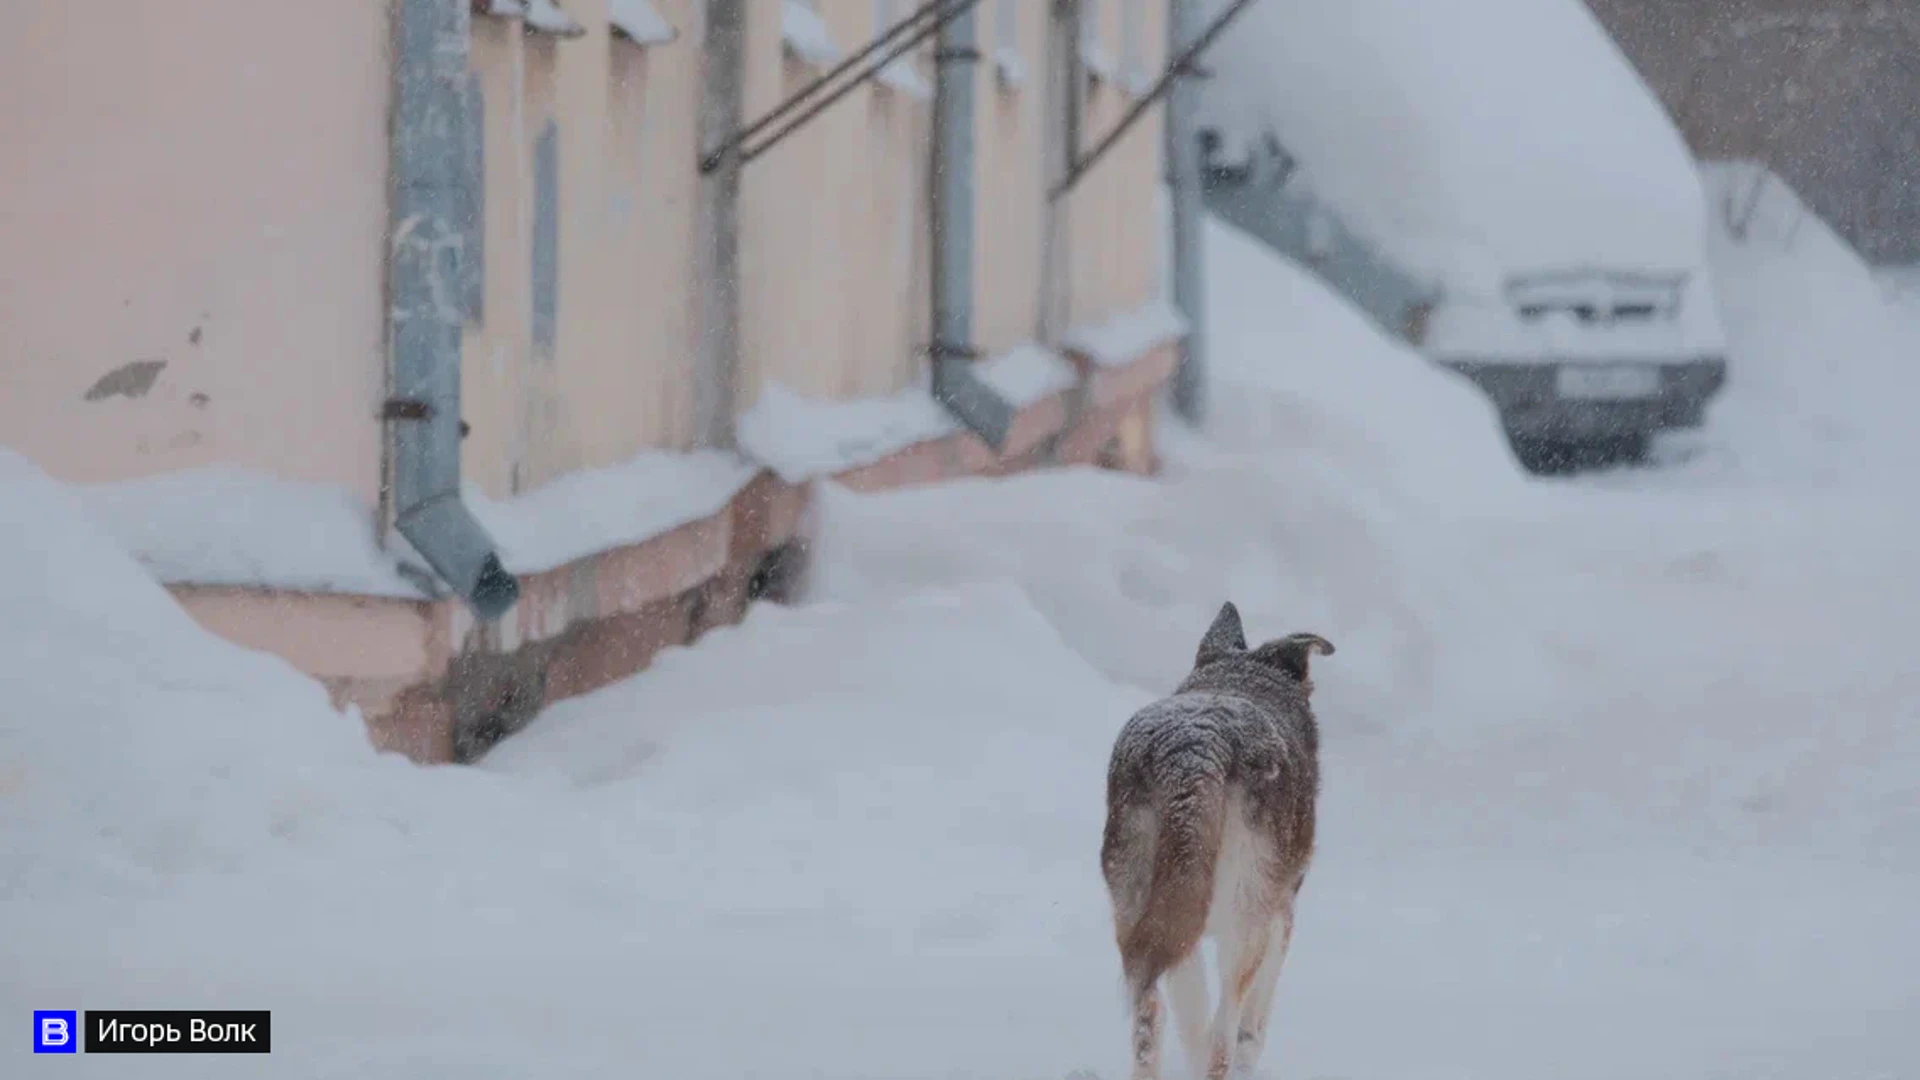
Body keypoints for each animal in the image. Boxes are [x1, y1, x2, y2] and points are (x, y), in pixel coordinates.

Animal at [1105, 595, 1328, 1076]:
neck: (1239, 678)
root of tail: (1194, 751)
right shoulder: (1280, 916)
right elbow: (1251, 1024)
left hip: (1140, 913)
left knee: (1152, 1019)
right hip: (1243, 925)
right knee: (1223, 1036)